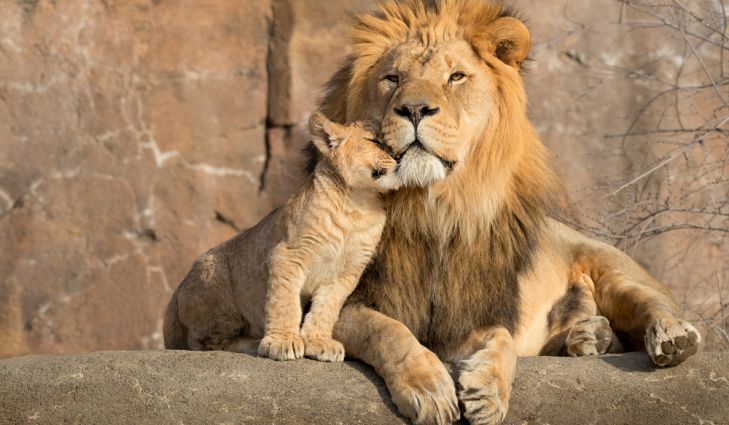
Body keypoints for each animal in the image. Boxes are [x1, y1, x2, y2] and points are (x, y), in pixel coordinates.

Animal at [318, 0, 700, 424]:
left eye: (456, 76)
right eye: (392, 77)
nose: (414, 108)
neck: (433, 208)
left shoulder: (470, 313)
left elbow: (501, 339)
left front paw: (488, 393)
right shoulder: (342, 303)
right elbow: (388, 331)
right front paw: (429, 389)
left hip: (612, 268)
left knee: (653, 303)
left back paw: (671, 336)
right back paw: (588, 336)